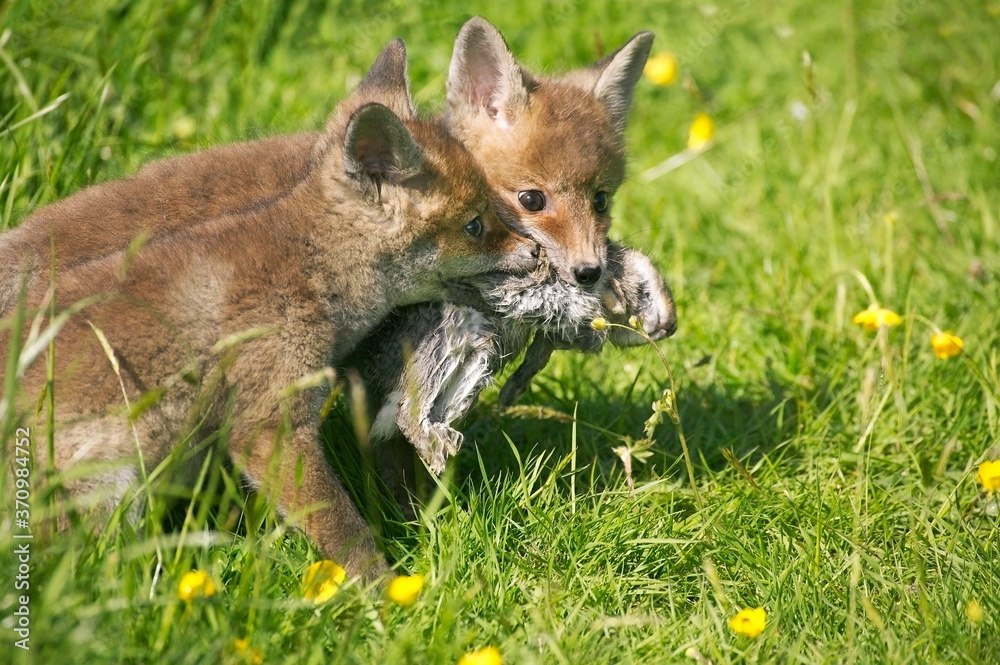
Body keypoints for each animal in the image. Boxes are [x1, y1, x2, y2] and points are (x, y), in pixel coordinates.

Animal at [1, 40, 539, 579]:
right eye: (475, 225)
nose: (536, 251)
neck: (310, 270)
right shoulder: (269, 424)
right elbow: (345, 531)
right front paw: (385, 590)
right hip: (106, 489)